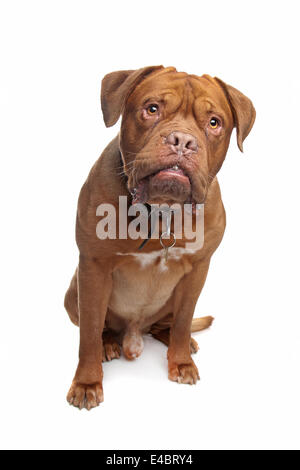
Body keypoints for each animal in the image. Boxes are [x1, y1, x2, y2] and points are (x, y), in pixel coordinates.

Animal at [63, 65, 255, 408]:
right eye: (152, 109)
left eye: (214, 122)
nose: (182, 140)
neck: (162, 210)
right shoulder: (93, 267)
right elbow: (89, 332)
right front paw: (87, 382)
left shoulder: (198, 270)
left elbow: (182, 320)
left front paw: (181, 362)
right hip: (74, 291)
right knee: (99, 326)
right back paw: (109, 344)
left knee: (170, 324)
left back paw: (183, 343)